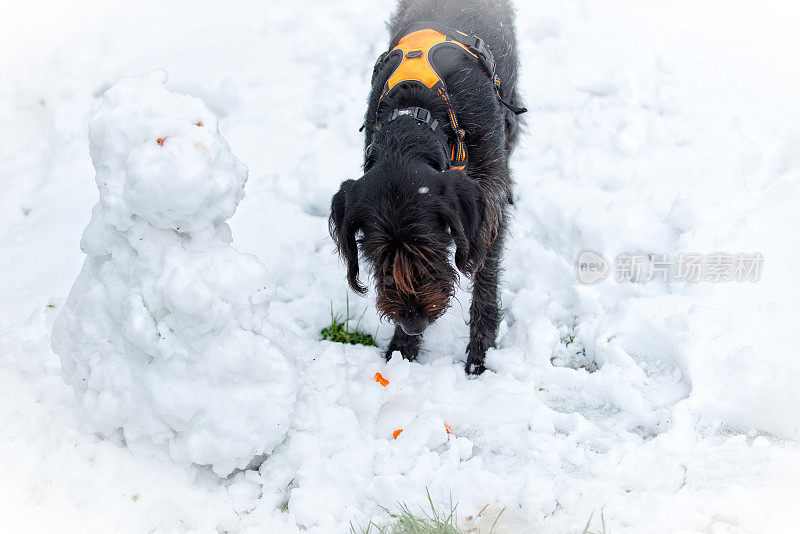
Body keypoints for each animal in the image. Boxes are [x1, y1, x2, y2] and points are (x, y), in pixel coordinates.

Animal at [328, 0, 520, 376]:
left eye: (431, 250)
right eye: (376, 257)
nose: (414, 324)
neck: (417, 113)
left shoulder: (488, 194)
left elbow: (485, 274)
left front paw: (480, 353)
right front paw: (402, 350)